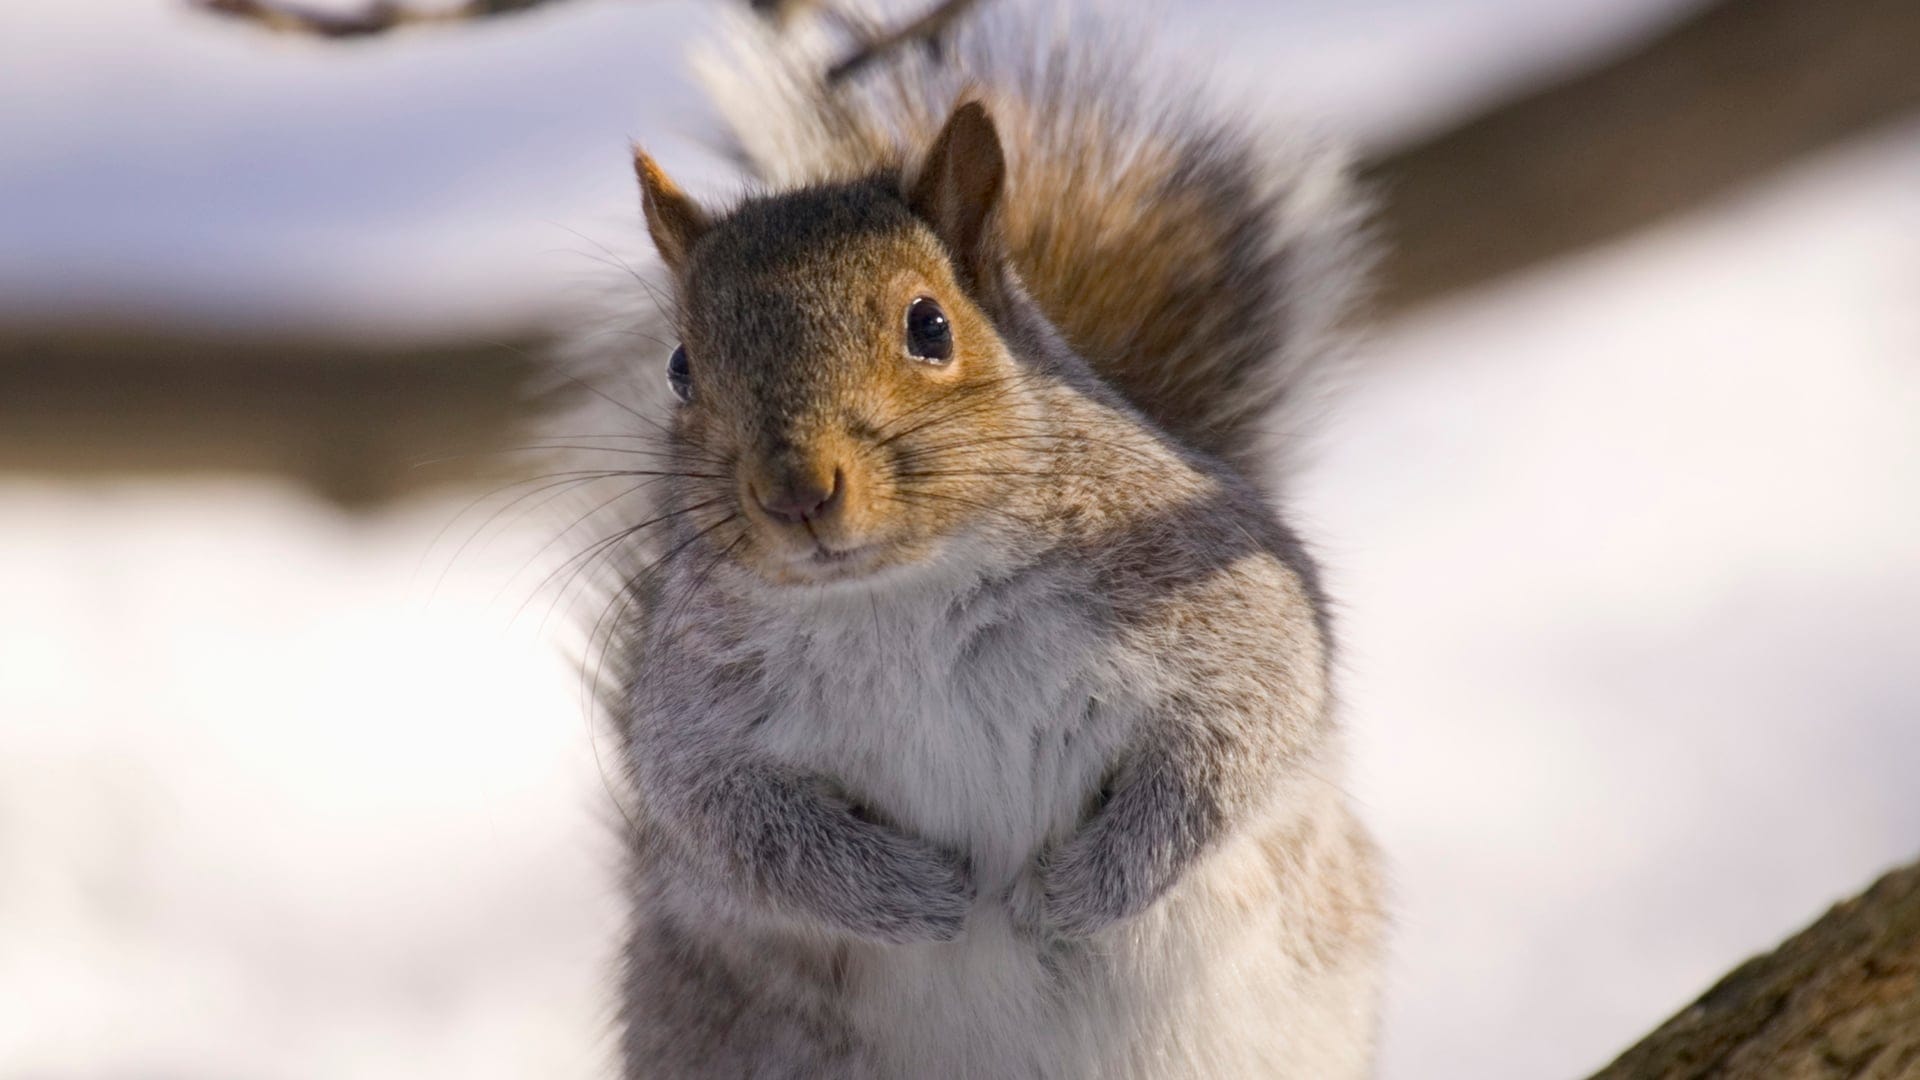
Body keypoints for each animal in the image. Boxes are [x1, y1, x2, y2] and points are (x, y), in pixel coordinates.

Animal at [575, 3, 1385, 1076]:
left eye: (929, 326)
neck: (898, 594)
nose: (796, 492)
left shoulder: (1216, 599)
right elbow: (734, 826)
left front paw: (1075, 889)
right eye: (679, 368)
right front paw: (915, 896)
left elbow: (1236, 737)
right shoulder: (694, 726)